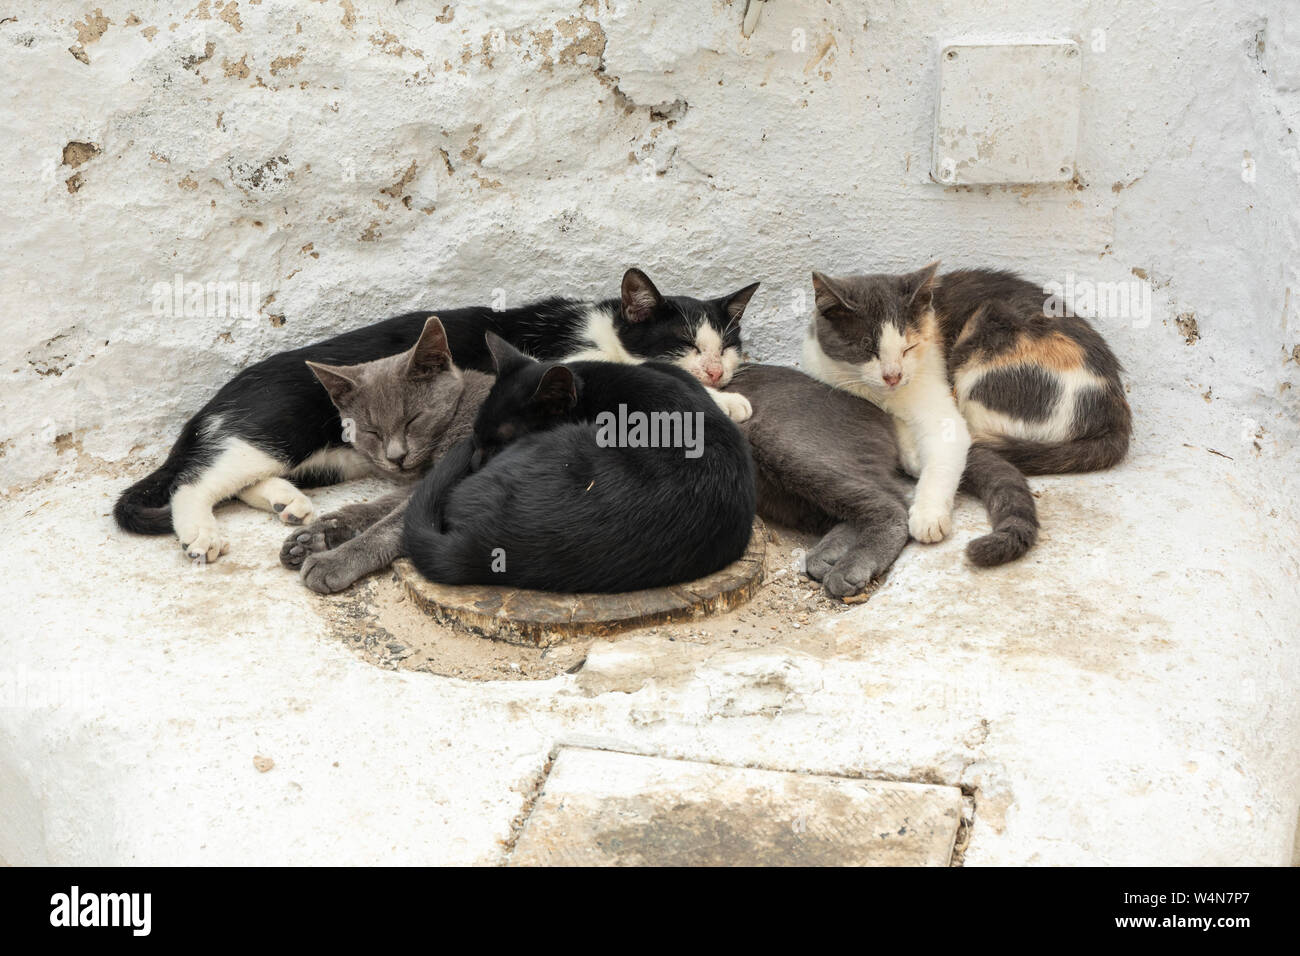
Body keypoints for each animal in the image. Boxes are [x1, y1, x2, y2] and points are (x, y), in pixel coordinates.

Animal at [114, 265, 759, 564]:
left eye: (728, 345)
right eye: (682, 342)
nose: (715, 370)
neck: (603, 327)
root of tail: (217, 400)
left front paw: (730, 390)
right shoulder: (563, 361)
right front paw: (727, 400)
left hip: (331, 459)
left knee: (238, 476)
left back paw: (285, 502)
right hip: (277, 424)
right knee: (194, 481)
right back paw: (202, 533)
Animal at [722, 361, 1034, 595]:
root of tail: (885, 414)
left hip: (783, 443)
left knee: (892, 504)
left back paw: (850, 567)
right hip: (779, 493)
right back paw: (828, 556)